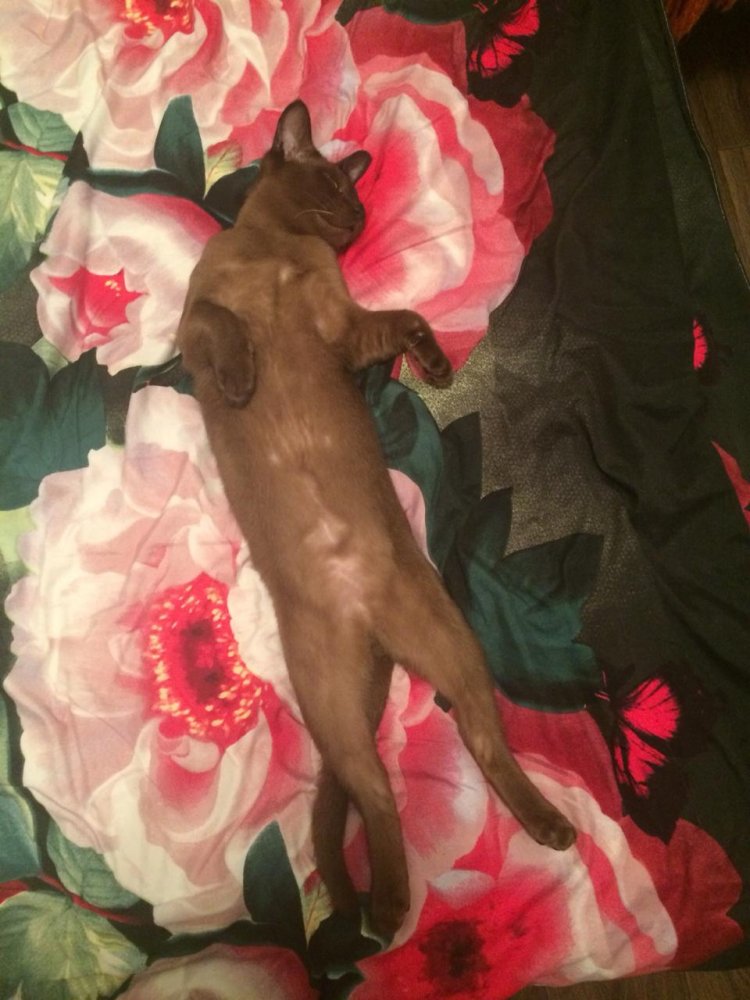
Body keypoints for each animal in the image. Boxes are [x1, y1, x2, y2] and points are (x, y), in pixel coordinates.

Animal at [177, 100, 576, 937]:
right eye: (335, 185)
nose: (358, 218)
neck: (282, 251)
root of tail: (369, 629)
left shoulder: (344, 330)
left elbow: (407, 317)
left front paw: (437, 369)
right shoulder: (197, 326)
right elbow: (228, 326)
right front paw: (243, 379)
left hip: (447, 648)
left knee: (463, 750)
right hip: (335, 702)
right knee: (378, 795)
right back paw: (387, 907)